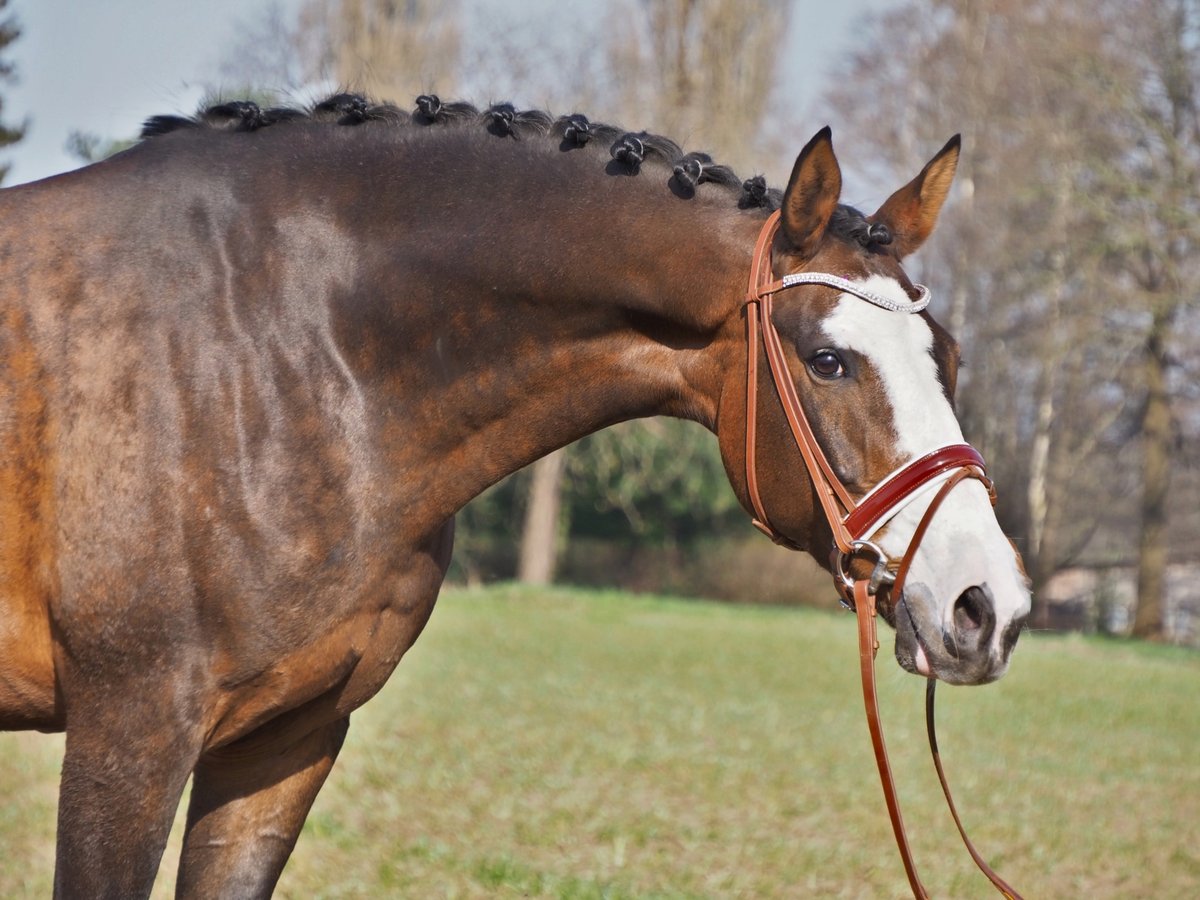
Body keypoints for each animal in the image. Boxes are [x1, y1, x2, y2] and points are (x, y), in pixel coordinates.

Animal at [0, 91, 1032, 897]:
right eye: (826, 360)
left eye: (948, 356)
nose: (989, 605)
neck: (276, 347)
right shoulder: (130, 739)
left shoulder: (284, 744)